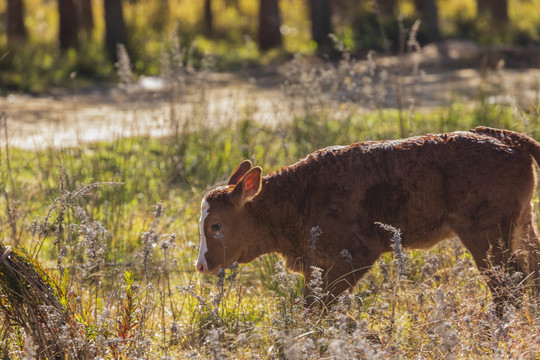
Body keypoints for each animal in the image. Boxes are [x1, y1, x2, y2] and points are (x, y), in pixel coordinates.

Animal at [196, 128, 540, 308]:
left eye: (216, 225)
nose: (201, 265)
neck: (297, 197)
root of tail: (506, 139)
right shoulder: (316, 262)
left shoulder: (356, 254)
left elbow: (318, 304)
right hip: (522, 225)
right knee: (531, 272)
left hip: (485, 235)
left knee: (509, 282)